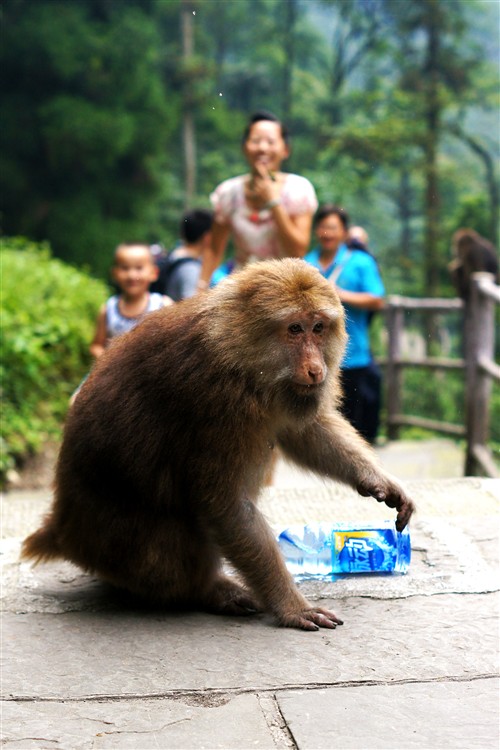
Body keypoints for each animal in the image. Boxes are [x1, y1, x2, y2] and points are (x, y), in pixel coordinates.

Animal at [23, 258, 414, 628]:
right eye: (294, 329)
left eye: (318, 328)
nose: (316, 369)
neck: (237, 354)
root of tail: (63, 530)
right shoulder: (218, 403)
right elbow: (224, 505)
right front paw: (290, 605)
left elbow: (304, 431)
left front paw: (378, 480)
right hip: (118, 548)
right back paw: (205, 590)